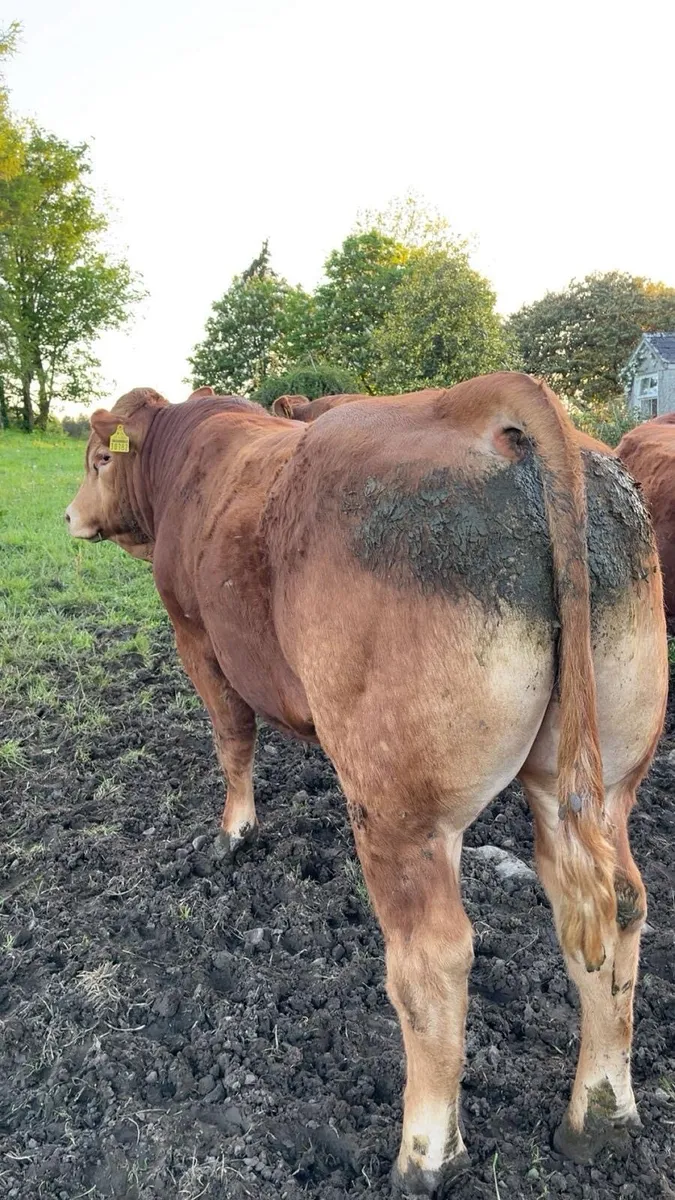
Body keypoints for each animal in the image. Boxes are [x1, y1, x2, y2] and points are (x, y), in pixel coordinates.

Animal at [66, 373, 667, 1197]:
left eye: (98, 457)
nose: (69, 515)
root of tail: (482, 403)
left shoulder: (197, 637)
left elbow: (231, 738)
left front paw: (233, 833)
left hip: (401, 812)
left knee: (432, 959)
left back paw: (424, 1156)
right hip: (596, 784)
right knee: (618, 910)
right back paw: (600, 1116)